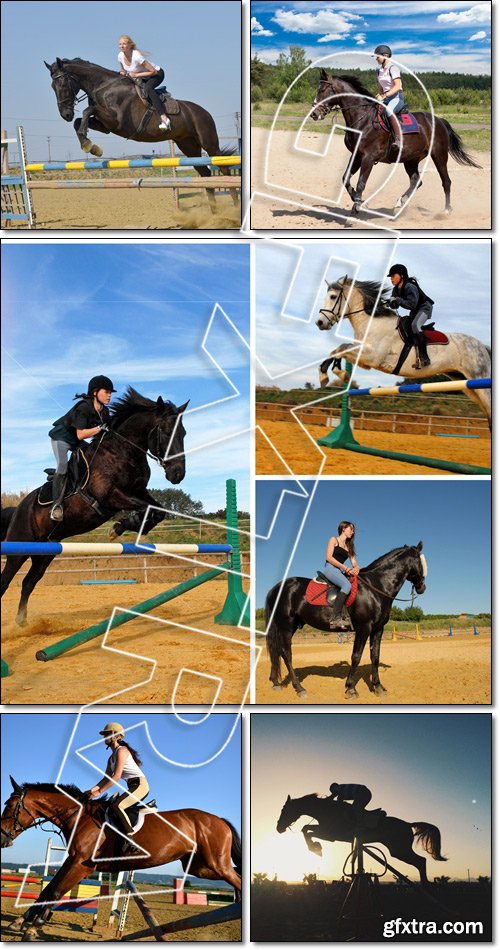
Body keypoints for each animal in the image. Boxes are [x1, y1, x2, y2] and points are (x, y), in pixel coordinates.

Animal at [0, 780, 242, 944]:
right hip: (200, 867)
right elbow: (48, 889)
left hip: (215, 864)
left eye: (10, 806)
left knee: (236, 878)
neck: (79, 816)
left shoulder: (82, 865)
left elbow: (56, 891)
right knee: (236, 875)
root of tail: (220, 820)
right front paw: (21, 921)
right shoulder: (74, 861)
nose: (2, 839)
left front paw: (33, 928)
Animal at [44, 58, 231, 178]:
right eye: (52, 86)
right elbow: (80, 120)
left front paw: (88, 145)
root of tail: (205, 112)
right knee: (205, 172)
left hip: (208, 142)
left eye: (62, 84)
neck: (103, 87)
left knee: (224, 168)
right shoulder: (106, 126)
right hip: (188, 145)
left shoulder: (117, 121)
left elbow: (87, 110)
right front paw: (91, 146)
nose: (66, 114)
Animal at [266, 544, 426, 700]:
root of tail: (277, 587)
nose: (422, 587)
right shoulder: (363, 628)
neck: (376, 586)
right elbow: (356, 656)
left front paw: (378, 687)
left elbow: (375, 657)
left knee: (277, 651)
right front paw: (351, 688)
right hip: (286, 626)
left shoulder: (378, 629)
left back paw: (276, 683)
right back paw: (299, 688)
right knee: (286, 654)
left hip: (289, 627)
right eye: (421, 562)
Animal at [278, 796, 446, 884]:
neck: (326, 810)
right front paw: (316, 847)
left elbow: (306, 829)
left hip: (399, 850)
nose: (278, 828)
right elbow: (306, 828)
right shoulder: (326, 831)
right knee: (420, 861)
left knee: (421, 861)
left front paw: (316, 848)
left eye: (284, 810)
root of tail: (408, 824)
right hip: (399, 850)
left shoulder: (330, 835)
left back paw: (425, 884)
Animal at [312, 70, 480, 221]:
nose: (314, 114)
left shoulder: (368, 157)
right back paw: (400, 204)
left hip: (439, 155)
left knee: (446, 181)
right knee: (416, 181)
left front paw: (356, 207)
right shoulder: (357, 155)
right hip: (410, 159)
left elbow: (361, 183)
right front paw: (358, 200)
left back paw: (445, 211)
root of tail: (439, 120)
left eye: (322, 90)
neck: (363, 119)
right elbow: (345, 178)